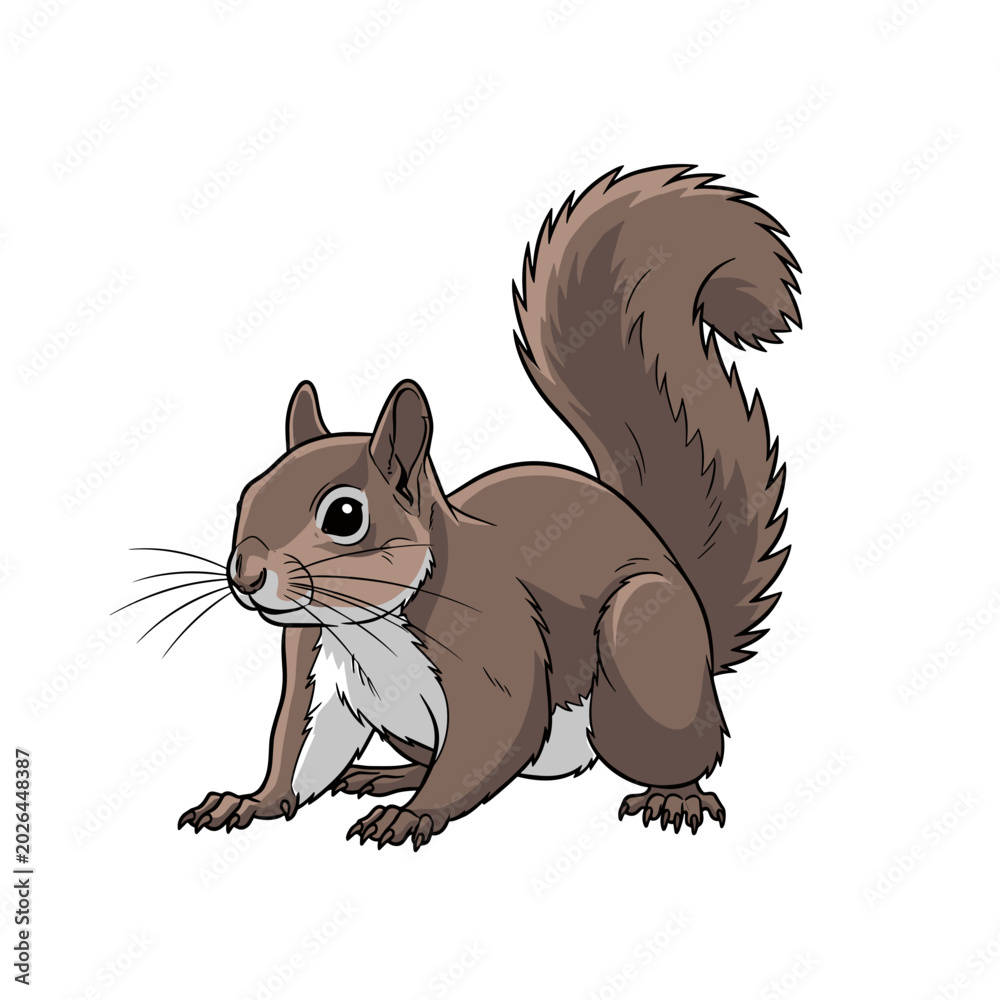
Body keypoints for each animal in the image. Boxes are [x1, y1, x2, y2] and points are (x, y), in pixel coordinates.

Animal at [176, 165, 801, 849]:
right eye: (247, 495)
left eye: (345, 516)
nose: (245, 574)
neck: (365, 627)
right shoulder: (318, 672)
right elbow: (298, 754)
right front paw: (249, 802)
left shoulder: (493, 648)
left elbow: (489, 742)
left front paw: (413, 815)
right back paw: (387, 775)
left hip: (642, 655)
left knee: (684, 752)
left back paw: (674, 795)